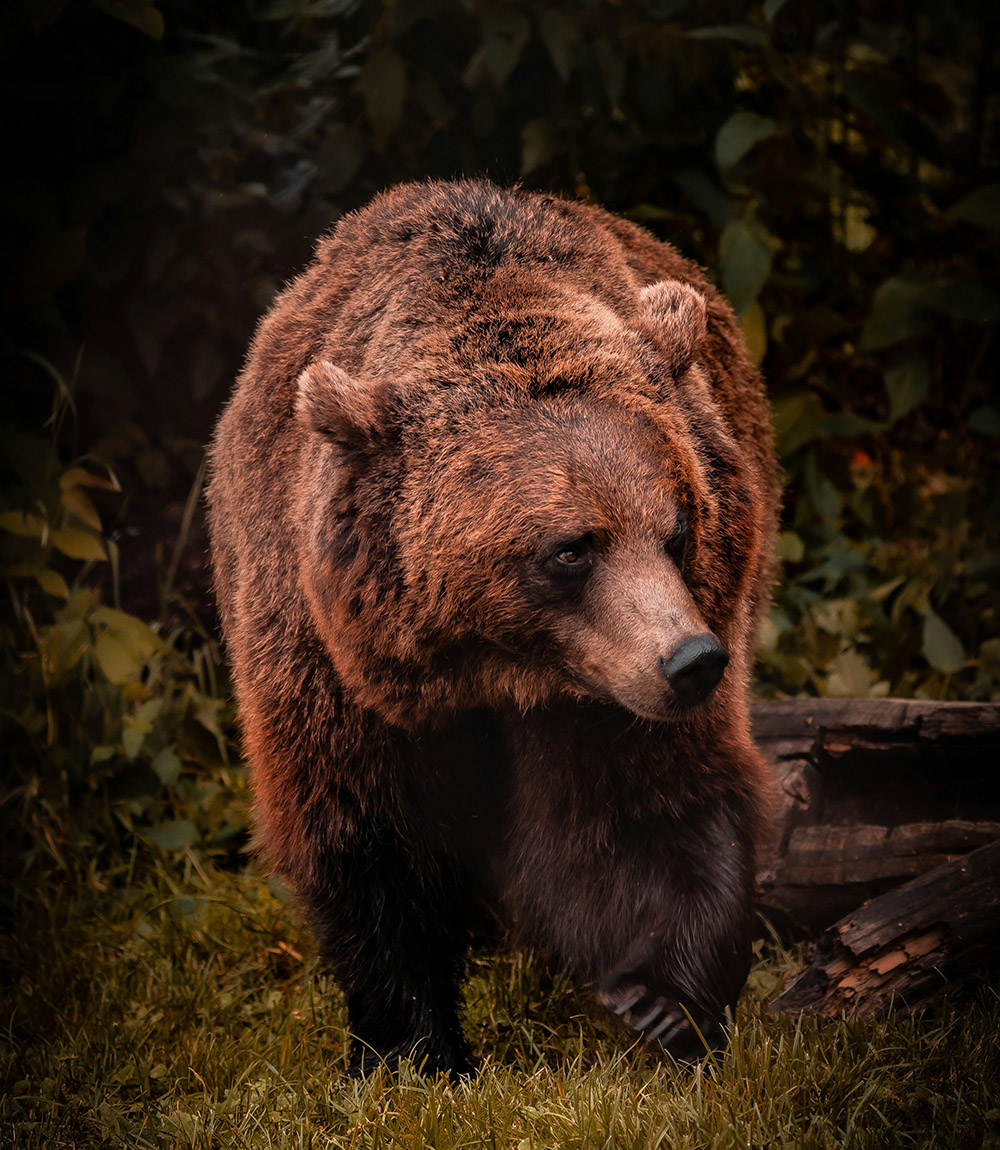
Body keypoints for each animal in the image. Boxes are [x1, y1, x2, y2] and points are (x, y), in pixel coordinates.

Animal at [205, 179, 781, 1076]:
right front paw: (413, 1047)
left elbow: (645, 807)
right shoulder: (328, 660)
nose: (692, 661)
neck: (497, 667)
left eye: (678, 527)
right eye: (571, 549)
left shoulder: (611, 687)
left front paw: (661, 1002)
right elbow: (369, 836)